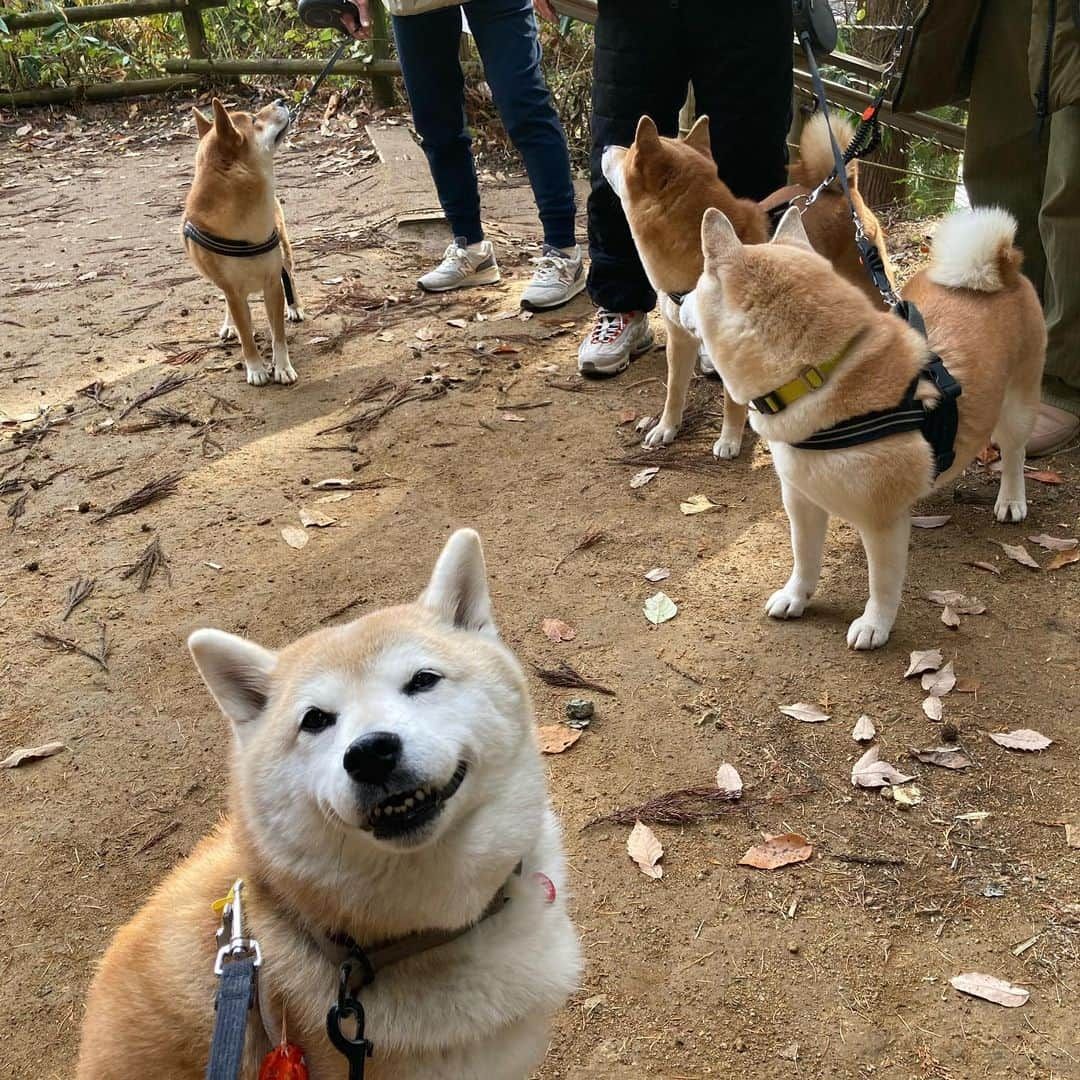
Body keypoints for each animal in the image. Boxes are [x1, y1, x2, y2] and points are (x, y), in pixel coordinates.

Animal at [183, 97, 304, 384]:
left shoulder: (272, 283)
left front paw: (282, 367)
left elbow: (278, 335)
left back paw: (295, 306)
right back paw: (229, 325)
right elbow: (246, 336)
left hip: (284, 251)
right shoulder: (233, 292)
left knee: (290, 274)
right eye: (254, 119)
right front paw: (256, 368)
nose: (281, 100)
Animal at [604, 113, 889, 460]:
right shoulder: (679, 338)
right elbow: (674, 390)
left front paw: (729, 439)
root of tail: (837, 187)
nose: (605, 146)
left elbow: (732, 403)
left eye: (627, 153)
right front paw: (666, 428)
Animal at [682, 205, 1045, 648]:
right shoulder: (800, 500)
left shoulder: (881, 523)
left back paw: (1011, 499)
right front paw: (795, 596)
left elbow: (882, 586)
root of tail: (1004, 267)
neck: (821, 375)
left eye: (696, 286)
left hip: (1016, 409)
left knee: (1014, 454)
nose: (676, 301)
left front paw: (875, 625)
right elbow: (804, 559)